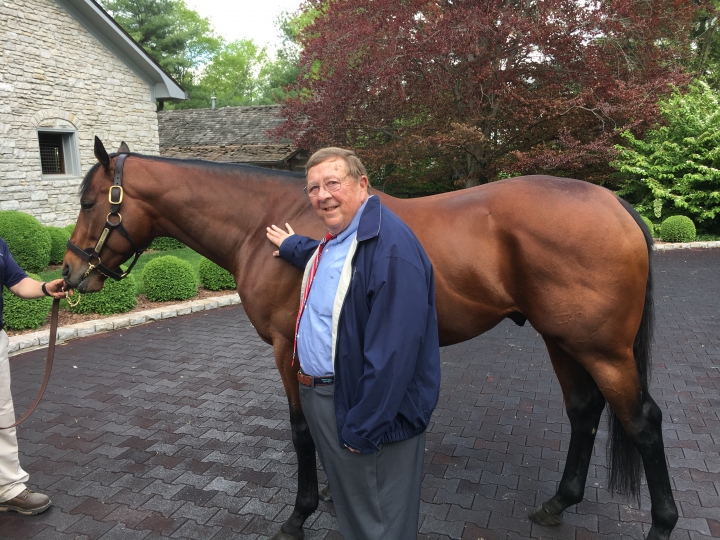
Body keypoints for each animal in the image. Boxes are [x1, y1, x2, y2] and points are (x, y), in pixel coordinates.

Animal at [64, 139, 676, 540]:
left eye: (89, 202)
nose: (70, 274)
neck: (267, 222)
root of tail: (615, 204)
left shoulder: (289, 349)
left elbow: (302, 431)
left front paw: (299, 515)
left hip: (603, 350)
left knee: (642, 421)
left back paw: (661, 524)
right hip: (563, 340)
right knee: (584, 411)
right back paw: (558, 503)